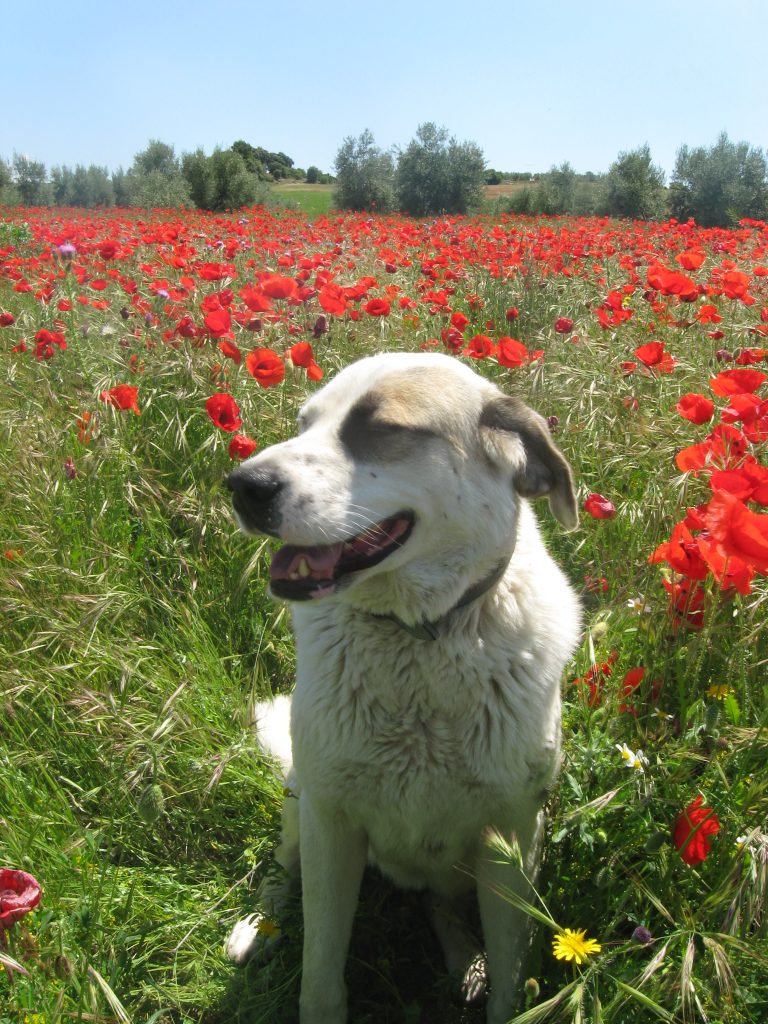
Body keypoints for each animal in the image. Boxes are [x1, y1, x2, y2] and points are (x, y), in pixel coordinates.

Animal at [225, 352, 581, 1024]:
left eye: (380, 426)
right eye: (305, 423)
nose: (242, 486)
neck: (419, 639)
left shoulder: (512, 838)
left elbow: (511, 976)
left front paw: (494, 984)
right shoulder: (331, 824)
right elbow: (320, 973)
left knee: (443, 908)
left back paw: (465, 962)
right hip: (301, 800)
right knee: (283, 872)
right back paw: (258, 928)